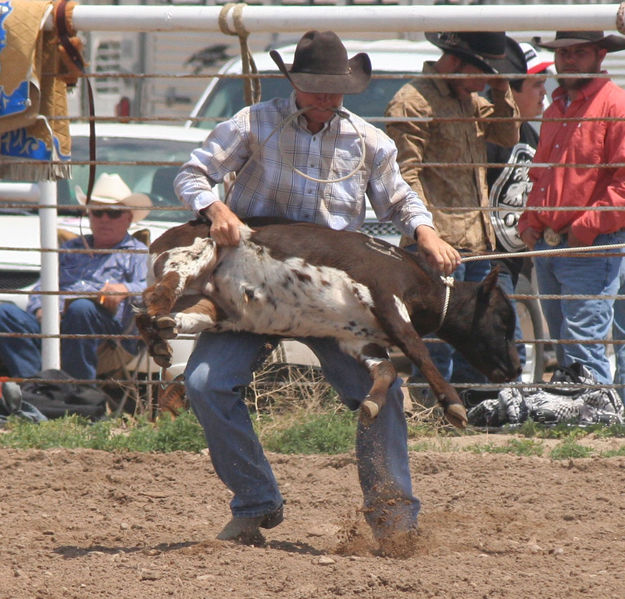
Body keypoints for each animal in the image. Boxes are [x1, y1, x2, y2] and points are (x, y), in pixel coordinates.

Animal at [138, 218, 520, 428]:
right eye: (504, 320)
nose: (516, 367)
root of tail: (156, 237)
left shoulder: (361, 338)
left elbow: (387, 370)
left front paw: (371, 405)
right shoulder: (386, 300)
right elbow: (418, 351)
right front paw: (454, 405)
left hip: (218, 306)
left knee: (168, 315)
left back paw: (161, 338)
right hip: (192, 255)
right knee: (156, 296)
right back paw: (157, 324)